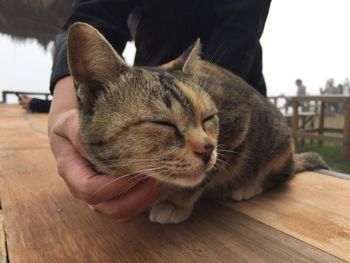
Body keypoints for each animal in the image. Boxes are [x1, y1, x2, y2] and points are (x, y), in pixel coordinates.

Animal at [66, 22, 328, 225]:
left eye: (208, 118)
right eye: (162, 123)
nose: (208, 149)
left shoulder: (238, 125)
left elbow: (203, 177)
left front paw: (176, 202)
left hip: (275, 145)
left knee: (282, 174)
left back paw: (246, 187)